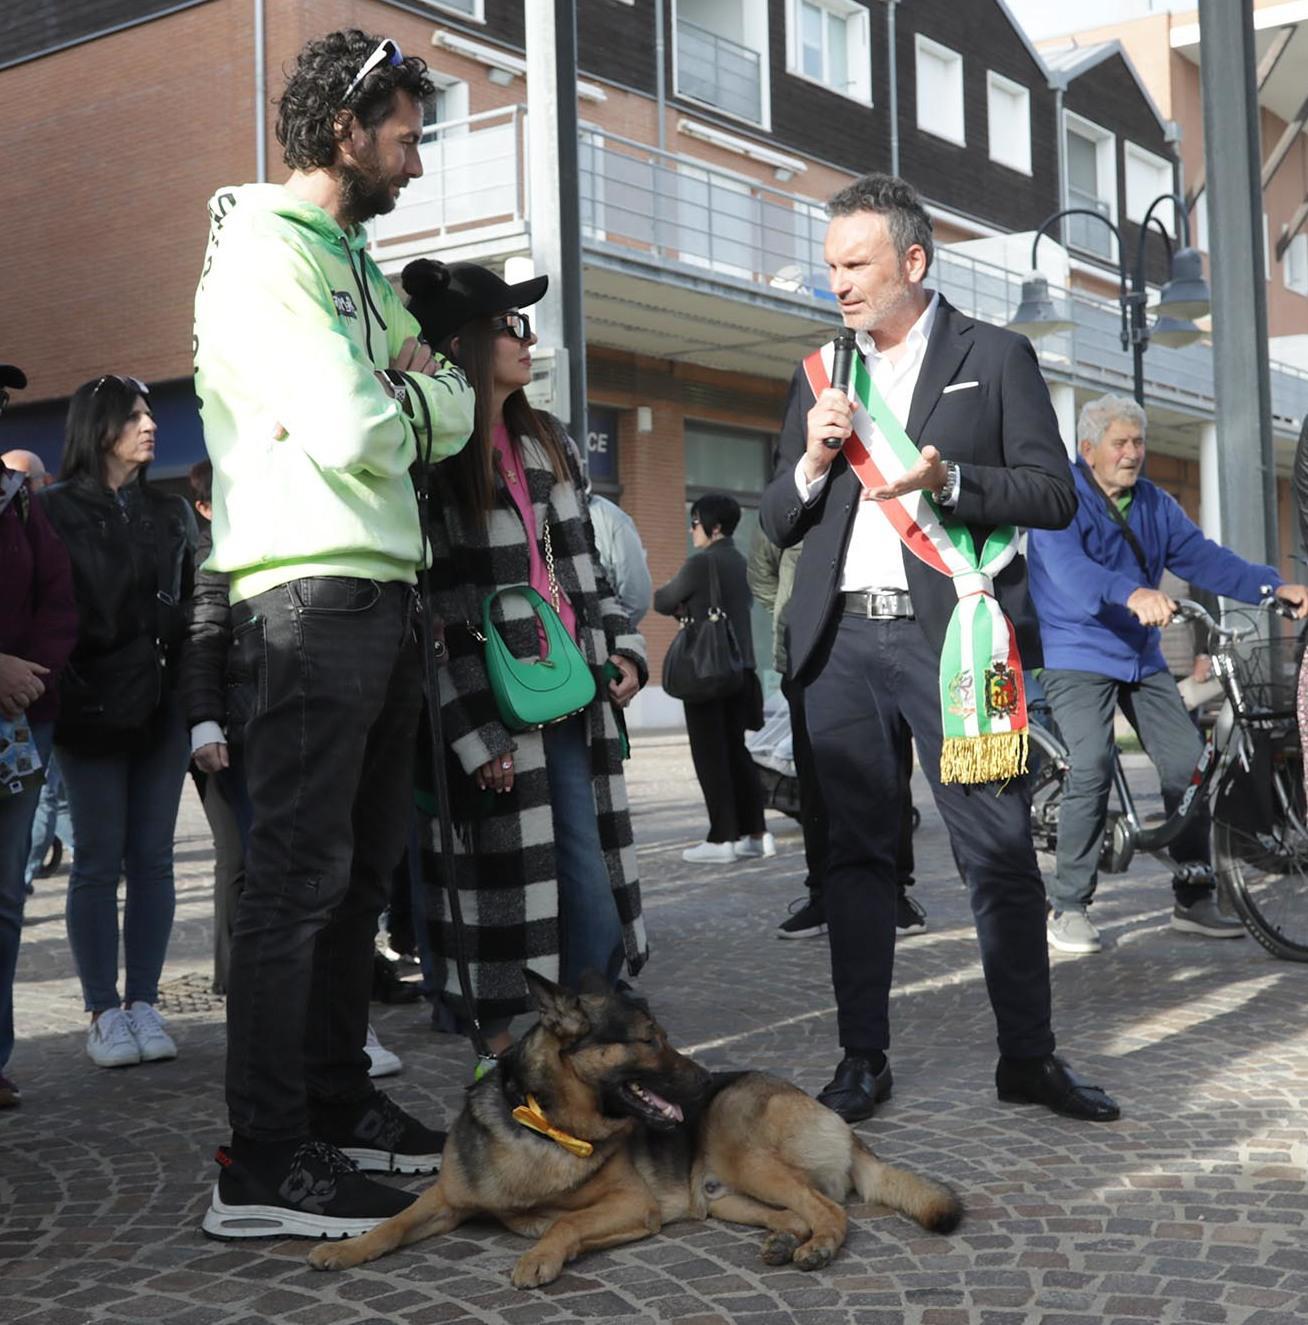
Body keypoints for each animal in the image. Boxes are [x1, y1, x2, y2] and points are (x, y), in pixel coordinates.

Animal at [307, 969, 959, 1287]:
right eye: (649, 1041)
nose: (705, 1080)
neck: (542, 1125)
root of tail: (846, 1131)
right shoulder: (445, 1198)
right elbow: (394, 1223)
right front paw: (346, 1249)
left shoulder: (631, 1205)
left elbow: (565, 1223)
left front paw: (540, 1256)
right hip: (725, 1197)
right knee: (798, 1211)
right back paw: (784, 1240)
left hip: (743, 1151)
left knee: (831, 1210)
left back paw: (818, 1247)